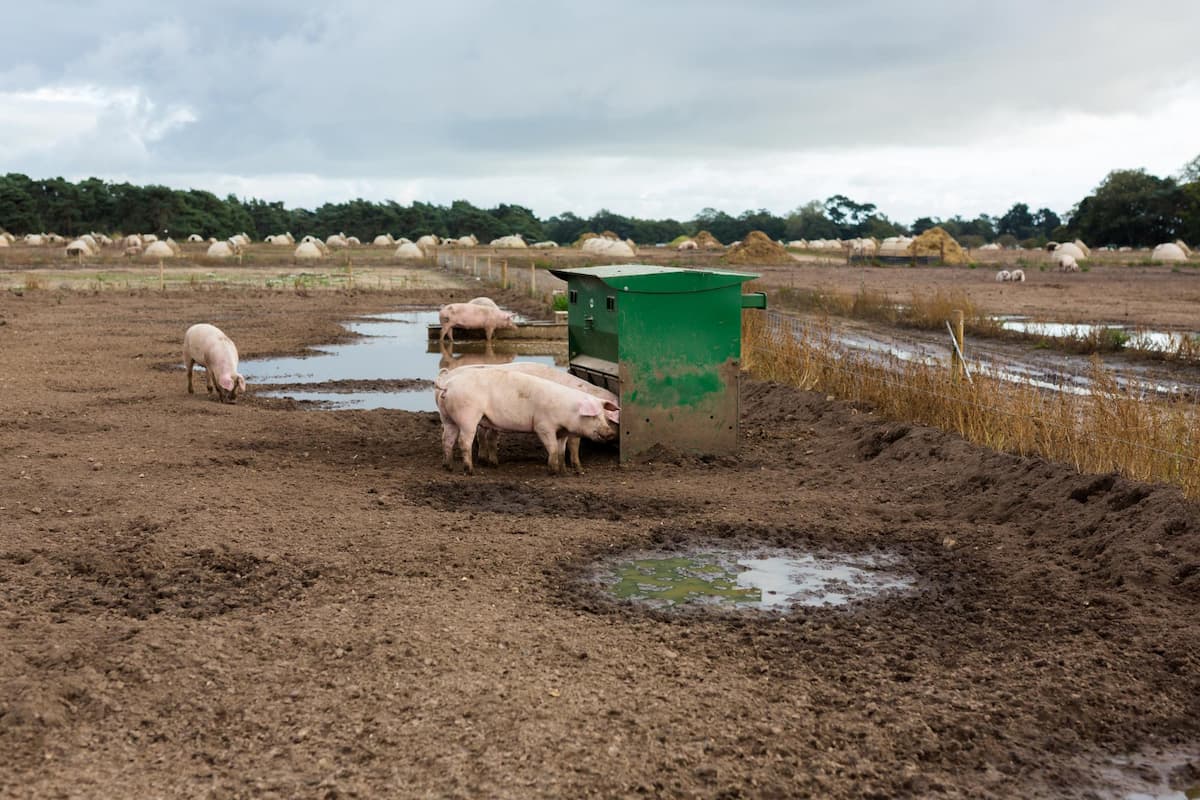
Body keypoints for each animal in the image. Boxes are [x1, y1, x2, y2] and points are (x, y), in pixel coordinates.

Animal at [434, 369, 619, 474]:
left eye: (603, 416)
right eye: (594, 416)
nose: (610, 433)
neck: (566, 410)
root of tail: (447, 386)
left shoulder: (562, 432)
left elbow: (561, 449)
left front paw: (564, 471)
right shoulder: (543, 426)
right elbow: (552, 448)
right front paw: (553, 471)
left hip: (447, 417)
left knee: (446, 439)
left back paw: (448, 467)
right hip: (468, 416)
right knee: (463, 441)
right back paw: (470, 471)